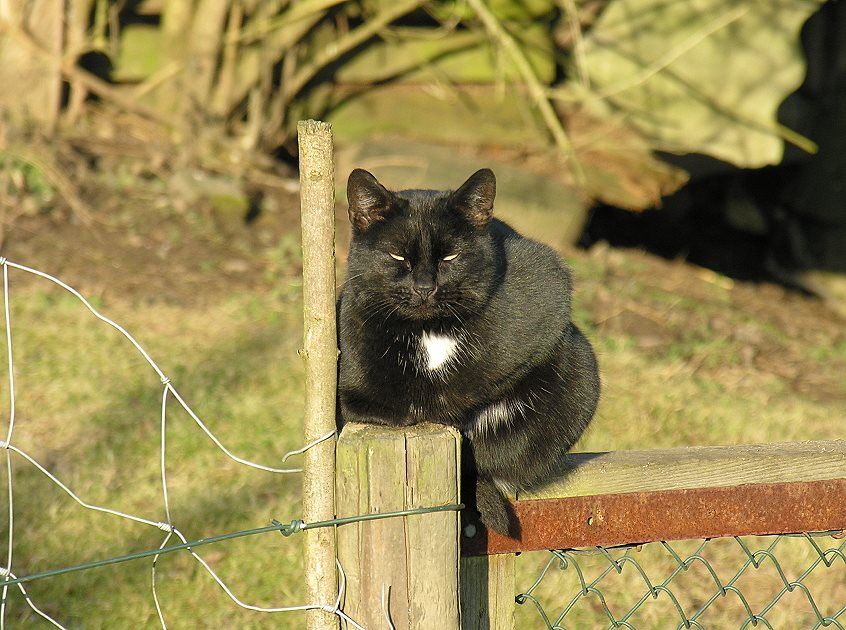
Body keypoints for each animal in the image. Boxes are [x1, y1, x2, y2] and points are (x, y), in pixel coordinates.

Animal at [338, 169, 604, 540]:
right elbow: (380, 402)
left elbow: (475, 379)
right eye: (397, 257)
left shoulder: (547, 294)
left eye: (450, 258)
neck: (429, 332)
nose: (424, 287)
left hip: (578, 377)